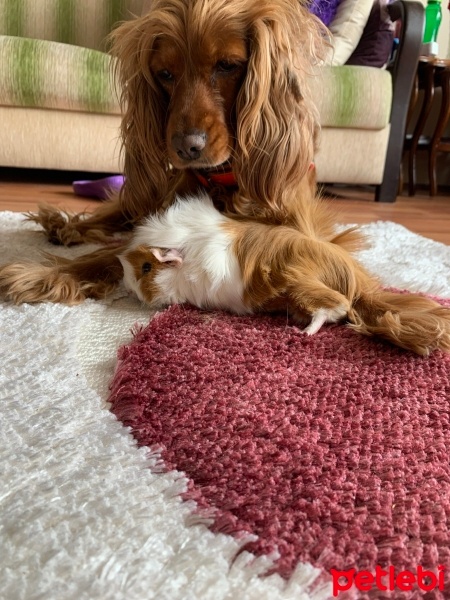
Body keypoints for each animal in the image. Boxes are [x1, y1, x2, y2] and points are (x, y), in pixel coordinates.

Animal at [0, 0, 326, 302]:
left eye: (227, 65)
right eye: (165, 73)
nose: (186, 146)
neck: (223, 180)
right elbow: (117, 250)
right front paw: (50, 274)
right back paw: (64, 226)